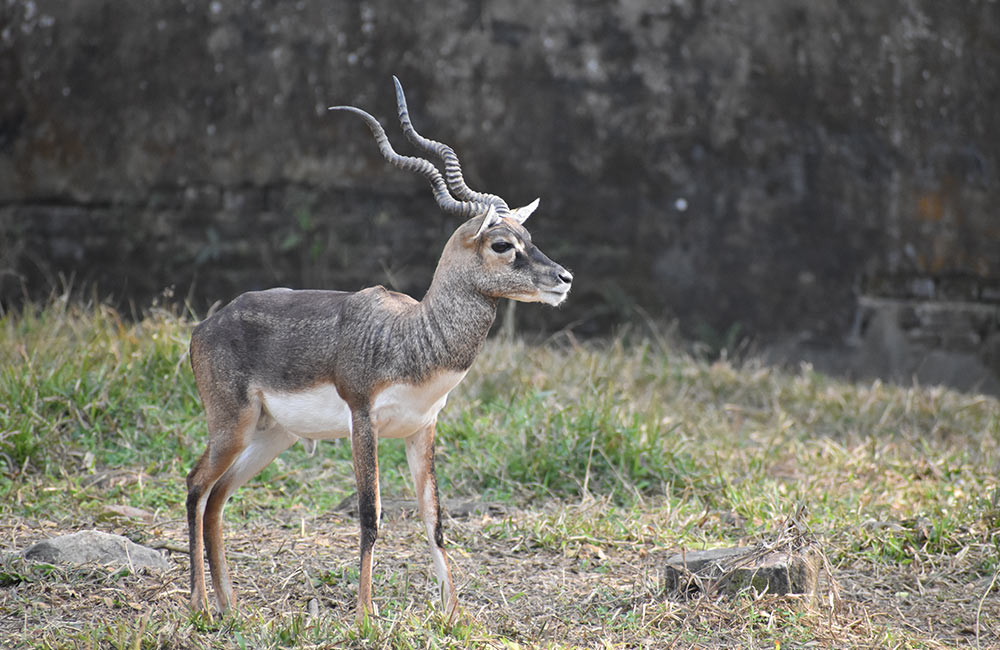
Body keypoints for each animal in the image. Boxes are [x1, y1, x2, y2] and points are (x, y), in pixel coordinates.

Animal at [185, 78, 576, 620]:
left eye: (528, 235)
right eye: (501, 244)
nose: (563, 278)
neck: (413, 335)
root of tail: (206, 326)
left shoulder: (422, 428)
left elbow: (434, 519)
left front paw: (454, 616)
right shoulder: (363, 420)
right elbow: (371, 515)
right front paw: (366, 616)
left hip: (269, 436)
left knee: (219, 497)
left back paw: (231, 606)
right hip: (231, 426)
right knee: (196, 487)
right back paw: (201, 605)